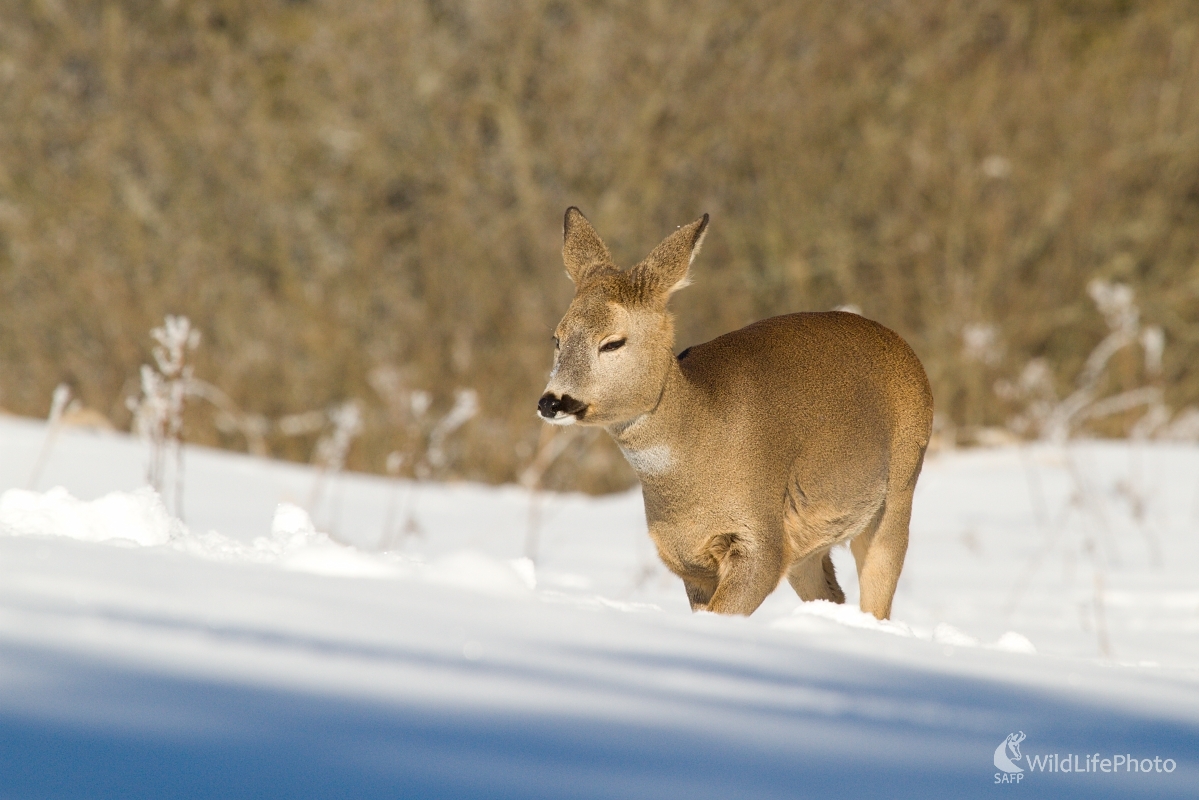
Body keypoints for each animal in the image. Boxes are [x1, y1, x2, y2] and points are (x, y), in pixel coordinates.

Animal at [537, 208, 935, 618]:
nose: (552, 401)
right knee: (832, 592)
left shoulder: (760, 539)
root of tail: (904, 348)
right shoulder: (689, 561)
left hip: (899, 487)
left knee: (878, 593)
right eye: (557, 337)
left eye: (613, 342)